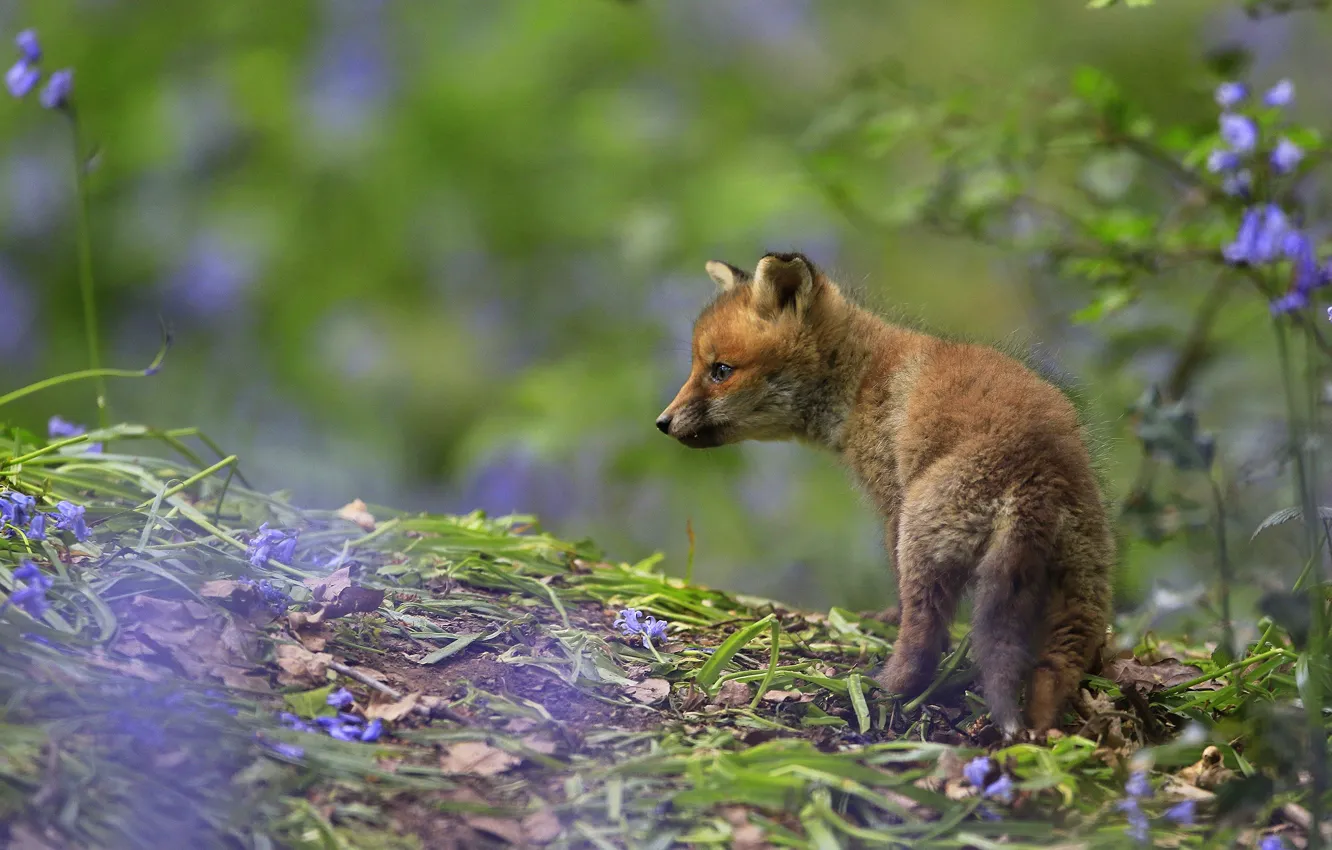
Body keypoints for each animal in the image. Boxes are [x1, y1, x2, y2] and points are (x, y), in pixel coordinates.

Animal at [655, 252, 1114, 737]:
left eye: (721, 370)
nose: (662, 422)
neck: (865, 379)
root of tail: (1035, 471)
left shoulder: (894, 502)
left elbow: (896, 588)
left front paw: (886, 624)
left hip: (924, 544)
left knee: (924, 639)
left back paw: (882, 688)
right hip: (1081, 591)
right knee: (1061, 663)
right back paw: (1047, 730)